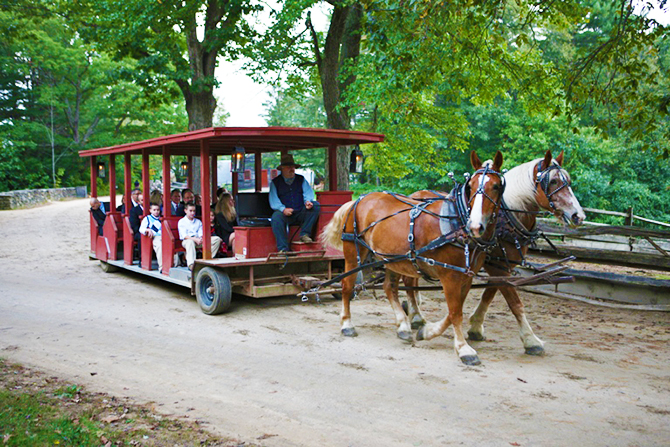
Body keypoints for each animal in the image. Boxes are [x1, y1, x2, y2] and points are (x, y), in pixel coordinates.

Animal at [320, 152, 504, 366]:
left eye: (496, 186)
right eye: (471, 186)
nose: (475, 225)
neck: (456, 224)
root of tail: (358, 199)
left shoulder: (466, 276)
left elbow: (452, 311)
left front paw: (427, 331)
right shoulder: (449, 276)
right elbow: (455, 312)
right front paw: (463, 349)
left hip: (391, 258)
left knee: (389, 287)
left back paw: (403, 325)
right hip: (353, 253)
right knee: (347, 285)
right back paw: (347, 324)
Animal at [402, 150, 584, 356]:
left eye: (568, 181)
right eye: (552, 181)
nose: (578, 216)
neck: (506, 218)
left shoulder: (500, 266)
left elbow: (489, 294)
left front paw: (475, 326)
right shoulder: (495, 267)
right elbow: (514, 302)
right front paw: (531, 340)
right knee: (408, 279)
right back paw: (416, 316)